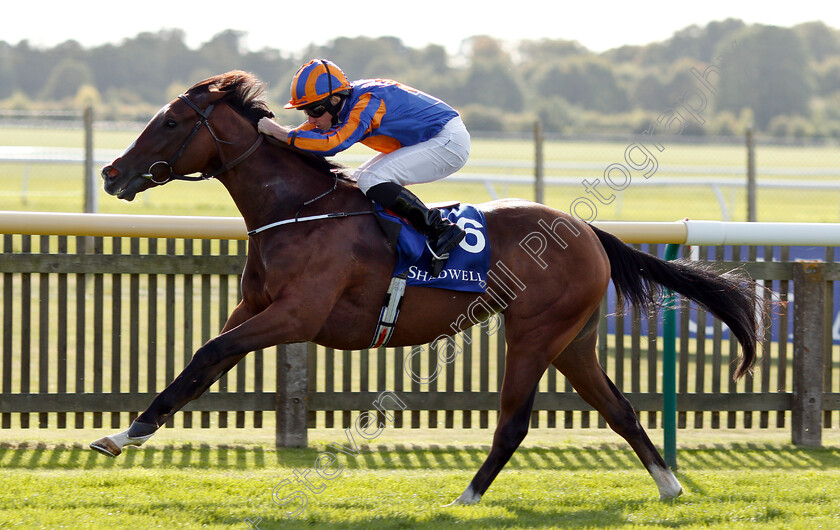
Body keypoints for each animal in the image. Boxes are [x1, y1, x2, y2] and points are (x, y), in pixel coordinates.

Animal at [90, 71, 760, 504]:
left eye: (171, 121)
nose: (110, 172)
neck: (298, 210)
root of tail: (589, 231)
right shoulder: (253, 306)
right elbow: (200, 365)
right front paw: (123, 434)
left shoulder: (297, 316)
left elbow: (210, 354)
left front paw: (126, 434)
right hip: (574, 340)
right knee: (618, 408)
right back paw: (669, 486)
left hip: (535, 331)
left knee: (515, 421)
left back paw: (466, 498)